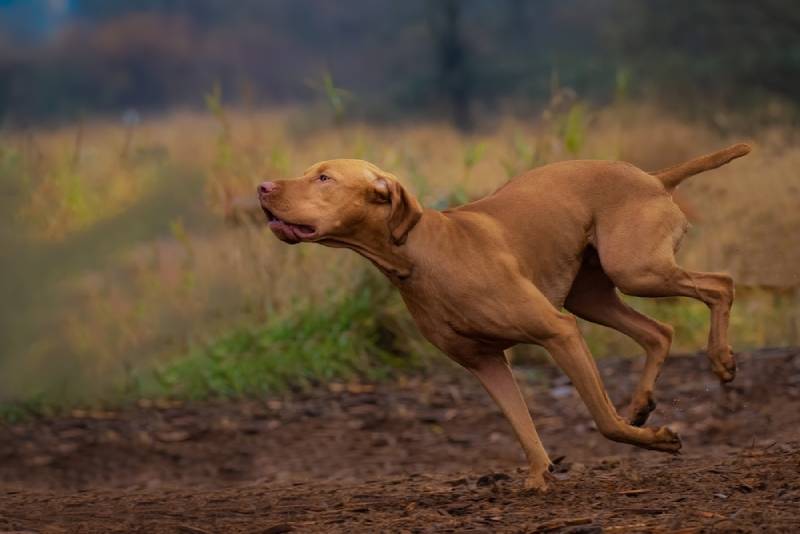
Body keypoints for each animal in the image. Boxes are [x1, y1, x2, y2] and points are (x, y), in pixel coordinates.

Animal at [260, 143, 752, 494]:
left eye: (324, 178)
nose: (262, 187)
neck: (419, 253)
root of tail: (652, 177)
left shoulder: (559, 332)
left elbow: (603, 421)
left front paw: (660, 440)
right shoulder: (485, 363)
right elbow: (521, 425)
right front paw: (539, 475)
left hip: (634, 270)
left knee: (721, 284)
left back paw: (721, 360)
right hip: (592, 295)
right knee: (659, 331)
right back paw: (642, 402)